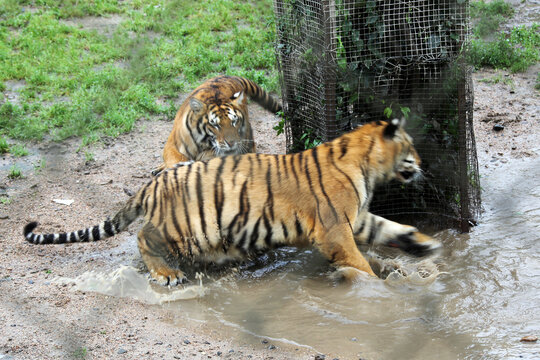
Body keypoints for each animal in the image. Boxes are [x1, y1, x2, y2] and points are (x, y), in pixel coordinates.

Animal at [23, 119, 440, 286]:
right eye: (410, 147)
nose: (422, 162)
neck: (369, 167)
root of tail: (153, 184)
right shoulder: (335, 227)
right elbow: (358, 260)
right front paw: (376, 286)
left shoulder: (356, 218)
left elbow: (390, 229)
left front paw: (425, 246)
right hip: (184, 227)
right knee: (144, 238)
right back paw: (168, 274)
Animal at [150, 75, 280, 176]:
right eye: (215, 125)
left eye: (234, 121)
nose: (232, 143)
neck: (202, 143)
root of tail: (230, 76)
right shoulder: (172, 145)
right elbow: (175, 158)